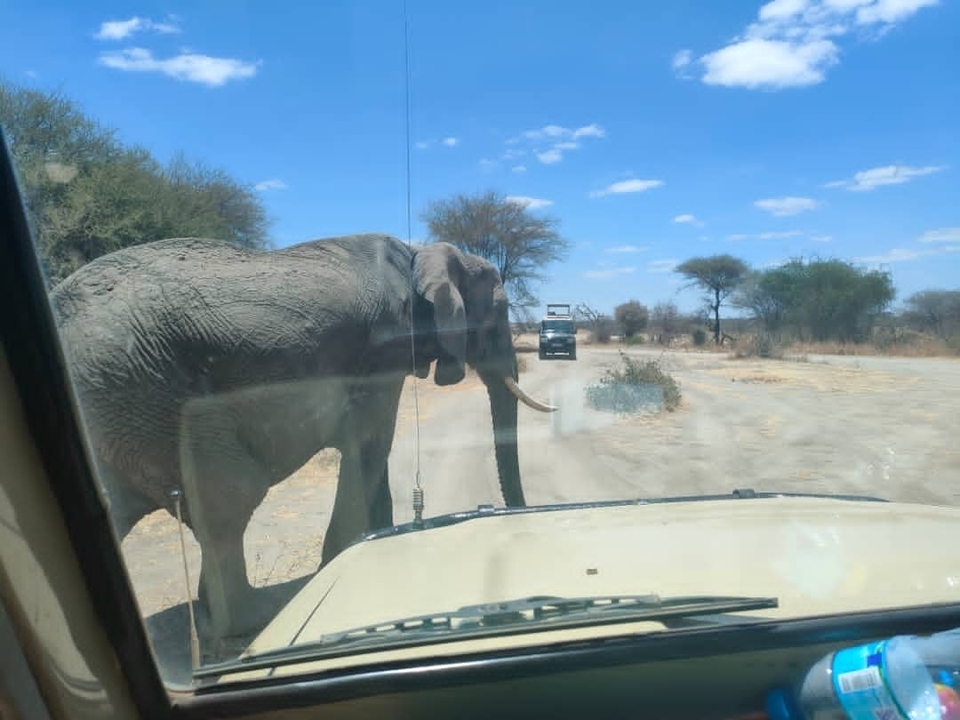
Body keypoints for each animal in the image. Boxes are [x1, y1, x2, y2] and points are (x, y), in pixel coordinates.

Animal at [48, 232, 555, 649]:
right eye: (499, 314)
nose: (517, 520)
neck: (419, 254)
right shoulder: (384, 347)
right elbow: (370, 443)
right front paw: (345, 561)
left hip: (117, 401)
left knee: (121, 505)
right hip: (150, 388)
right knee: (229, 497)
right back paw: (261, 614)